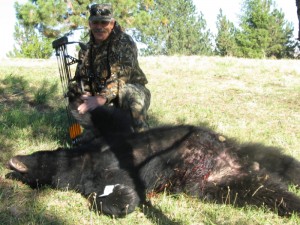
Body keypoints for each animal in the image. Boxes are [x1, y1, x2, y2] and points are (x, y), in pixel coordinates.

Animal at [5, 106, 300, 218]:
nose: (12, 161)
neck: (81, 162)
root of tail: (244, 161)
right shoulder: (97, 177)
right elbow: (116, 193)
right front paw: (125, 198)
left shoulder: (112, 140)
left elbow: (115, 120)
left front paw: (83, 104)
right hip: (222, 181)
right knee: (266, 191)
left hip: (243, 151)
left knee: (285, 164)